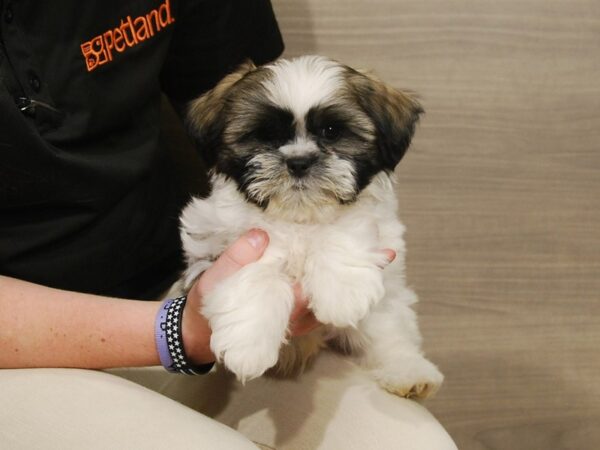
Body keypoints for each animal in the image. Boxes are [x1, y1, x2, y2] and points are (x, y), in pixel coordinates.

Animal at [176, 55, 442, 398]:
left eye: (331, 131)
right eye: (266, 135)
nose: (299, 162)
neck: (298, 218)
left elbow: (345, 225)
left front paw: (341, 293)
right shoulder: (212, 242)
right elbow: (255, 267)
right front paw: (248, 344)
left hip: (389, 304)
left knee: (392, 331)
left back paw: (409, 371)